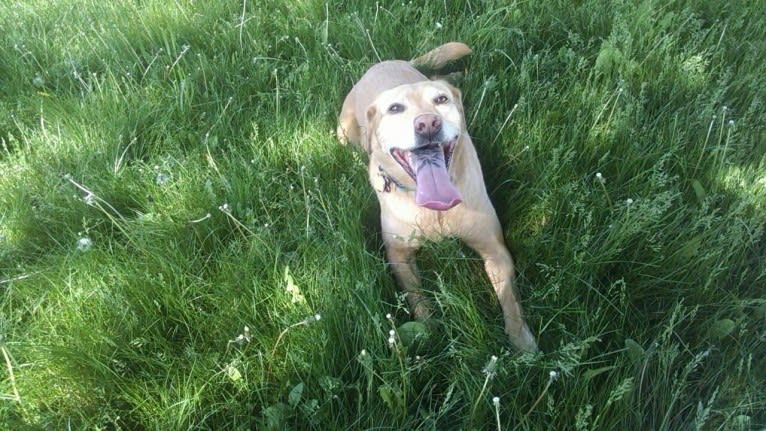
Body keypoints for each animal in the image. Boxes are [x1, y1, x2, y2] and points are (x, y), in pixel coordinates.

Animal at [336, 40, 540, 352]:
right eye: (395, 108)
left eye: (441, 100)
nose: (427, 124)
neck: (435, 210)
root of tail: (383, 63)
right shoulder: (398, 254)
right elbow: (417, 296)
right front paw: (429, 331)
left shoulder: (494, 249)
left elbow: (510, 297)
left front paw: (522, 341)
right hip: (344, 133)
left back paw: (456, 76)